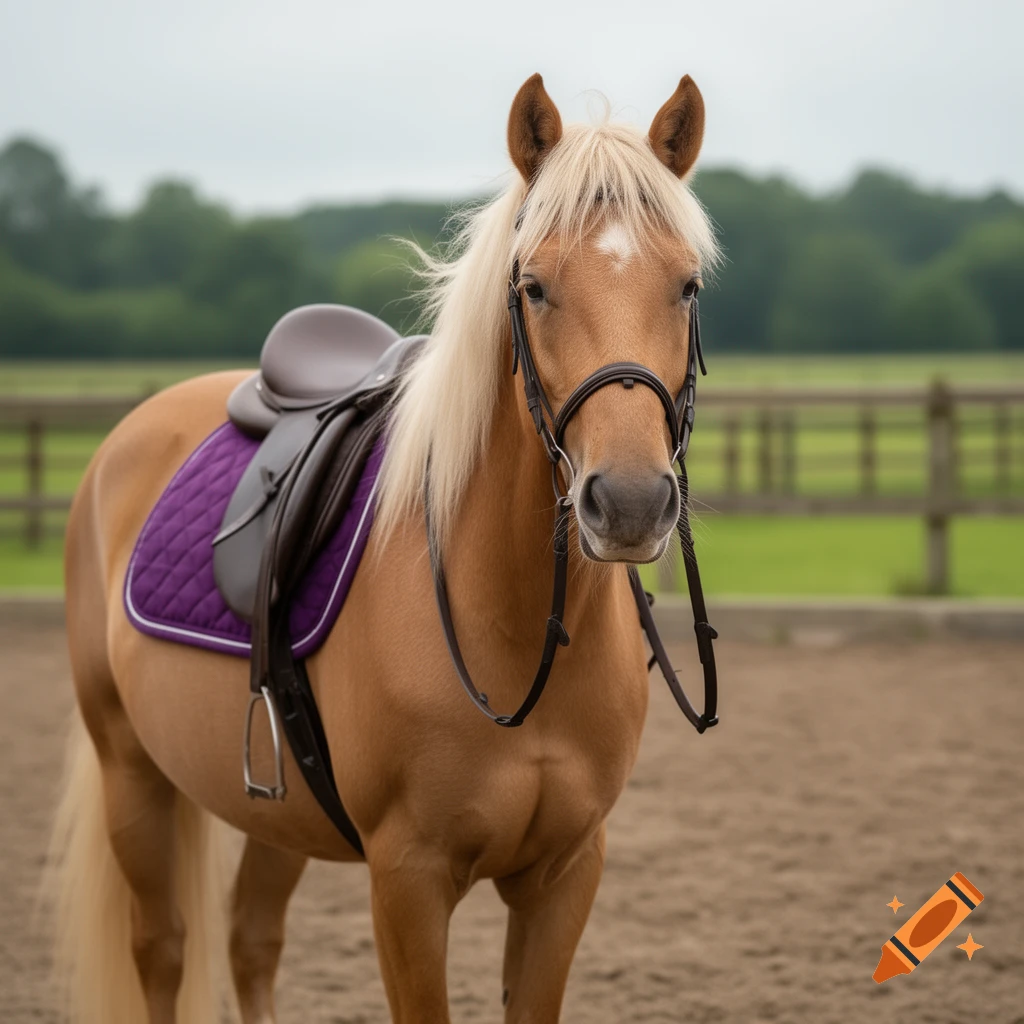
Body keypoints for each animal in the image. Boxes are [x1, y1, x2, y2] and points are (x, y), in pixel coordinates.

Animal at [46, 72, 720, 1023]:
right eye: (535, 287)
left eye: (687, 286)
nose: (628, 501)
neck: (510, 623)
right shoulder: (408, 881)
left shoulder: (564, 875)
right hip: (130, 771)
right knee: (163, 950)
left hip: (277, 808)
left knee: (251, 939)